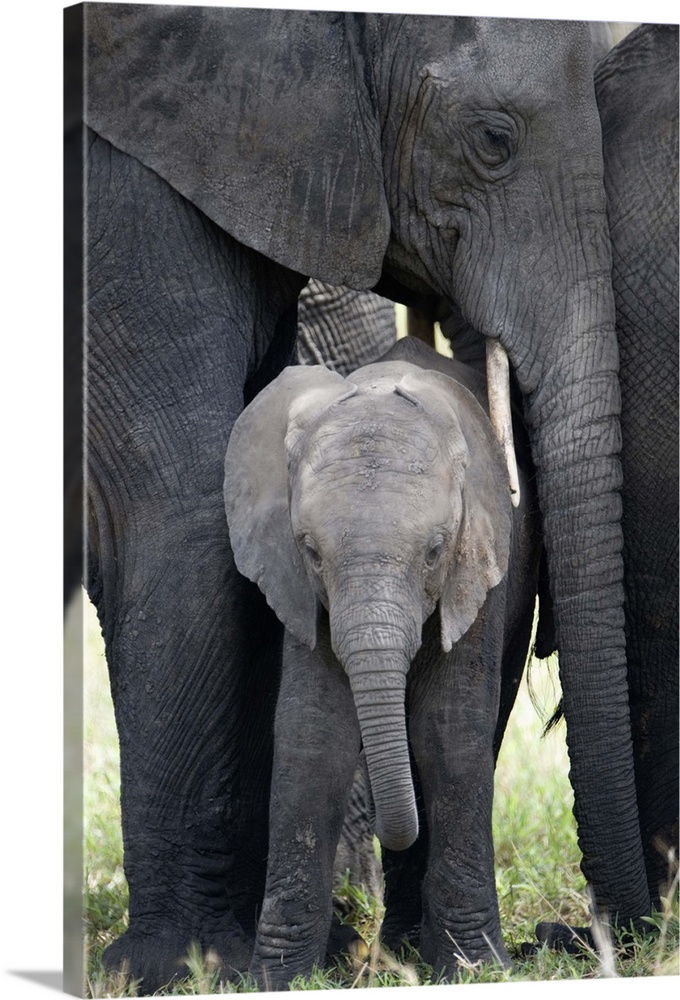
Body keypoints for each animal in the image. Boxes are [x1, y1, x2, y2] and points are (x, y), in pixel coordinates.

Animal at [223, 337, 541, 987]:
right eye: (311, 552)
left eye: (436, 551)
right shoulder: (300, 589)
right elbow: (313, 732)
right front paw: (274, 979)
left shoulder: (481, 560)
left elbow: (450, 732)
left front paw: (476, 969)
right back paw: (400, 947)